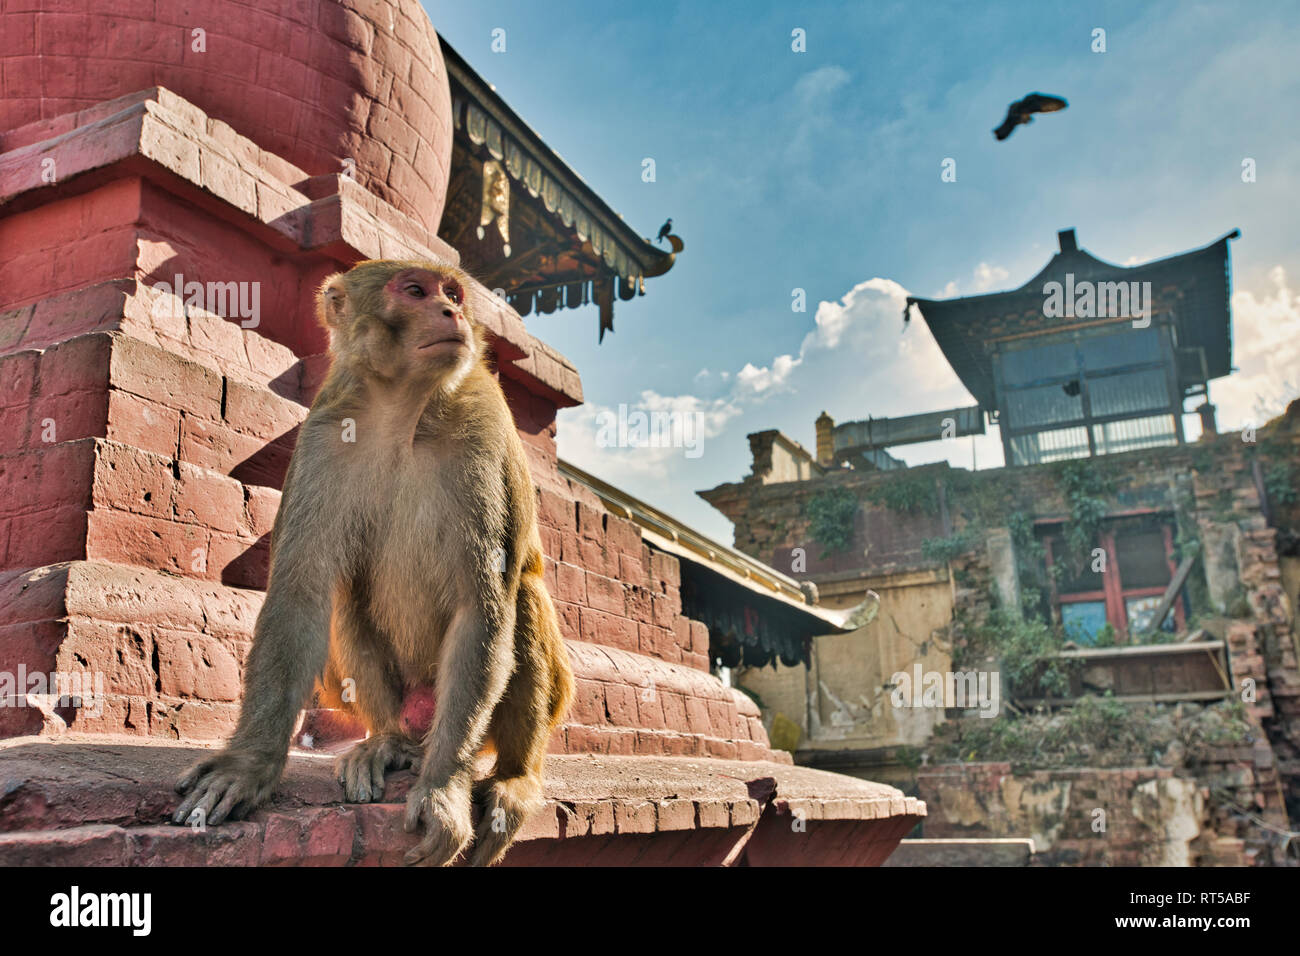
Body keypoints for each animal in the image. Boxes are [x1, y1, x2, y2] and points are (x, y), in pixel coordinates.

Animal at [173, 259, 575, 867]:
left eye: (453, 293)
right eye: (414, 291)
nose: (451, 312)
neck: (403, 412)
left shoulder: (484, 429)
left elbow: (480, 607)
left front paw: (441, 791)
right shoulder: (323, 434)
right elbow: (301, 595)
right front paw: (248, 766)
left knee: (522, 599)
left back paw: (513, 777)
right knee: (343, 601)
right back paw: (389, 743)